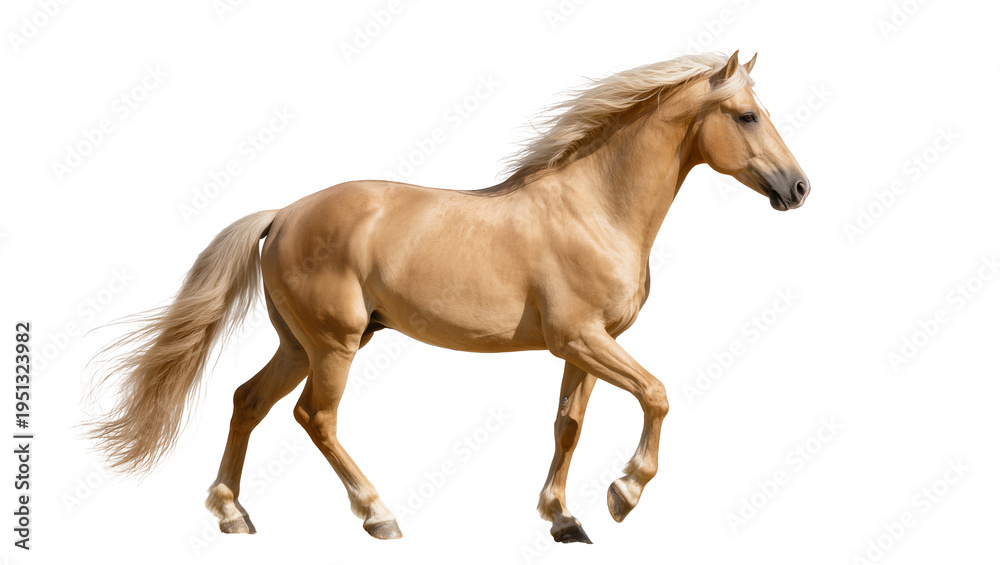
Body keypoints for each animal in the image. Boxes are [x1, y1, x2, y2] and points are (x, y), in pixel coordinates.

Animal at [87, 51, 809, 544]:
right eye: (747, 116)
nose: (798, 188)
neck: (594, 207)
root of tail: (283, 215)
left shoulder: (586, 347)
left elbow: (568, 425)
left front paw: (562, 518)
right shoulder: (581, 337)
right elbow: (657, 394)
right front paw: (623, 494)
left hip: (298, 343)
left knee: (247, 401)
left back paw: (233, 513)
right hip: (333, 344)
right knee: (314, 417)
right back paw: (378, 515)